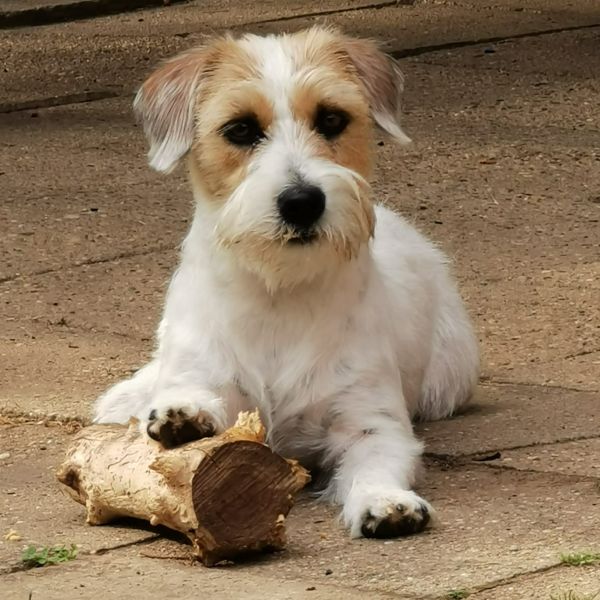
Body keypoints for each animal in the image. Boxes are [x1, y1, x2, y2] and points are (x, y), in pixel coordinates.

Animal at [94, 27, 478, 540]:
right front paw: (185, 415)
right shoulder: (201, 370)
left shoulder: (370, 422)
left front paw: (383, 500)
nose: (302, 201)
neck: (279, 293)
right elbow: (189, 393)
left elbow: (376, 462)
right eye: (240, 129)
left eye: (332, 119)